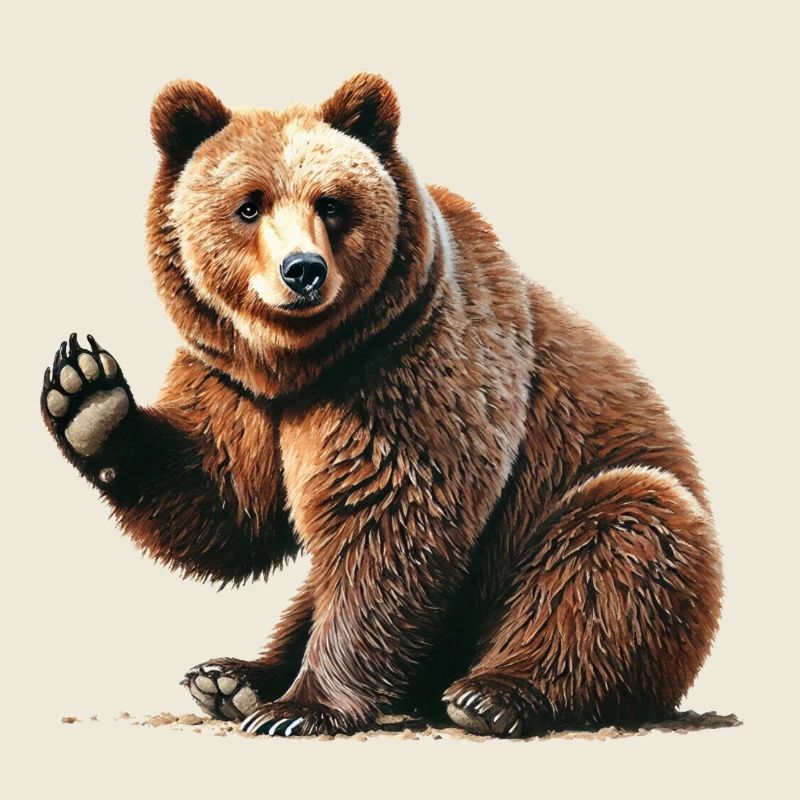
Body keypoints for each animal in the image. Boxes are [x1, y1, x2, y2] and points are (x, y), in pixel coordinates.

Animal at [40, 74, 722, 738]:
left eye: (332, 203)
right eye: (249, 204)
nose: (303, 270)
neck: (302, 365)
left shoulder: (412, 368)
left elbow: (391, 520)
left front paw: (300, 709)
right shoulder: (232, 381)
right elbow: (227, 494)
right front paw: (87, 395)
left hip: (591, 526)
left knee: (617, 540)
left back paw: (491, 694)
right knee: (306, 594)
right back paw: (231, 677)